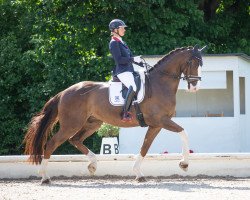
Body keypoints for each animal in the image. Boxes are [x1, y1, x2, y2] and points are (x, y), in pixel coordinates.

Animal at [23, 45, 204, 183]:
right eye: (192, 62)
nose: (195, 87)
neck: (160, 84)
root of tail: (64, 92)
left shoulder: (156, 125)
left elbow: (145, 146)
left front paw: (138, 174)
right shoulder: (162, 120)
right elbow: (183, 133)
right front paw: (184, 164)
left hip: (92, 123)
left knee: (75, 140)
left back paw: (93, 164)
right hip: (72, 124)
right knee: (51, 144)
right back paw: (45, 177)